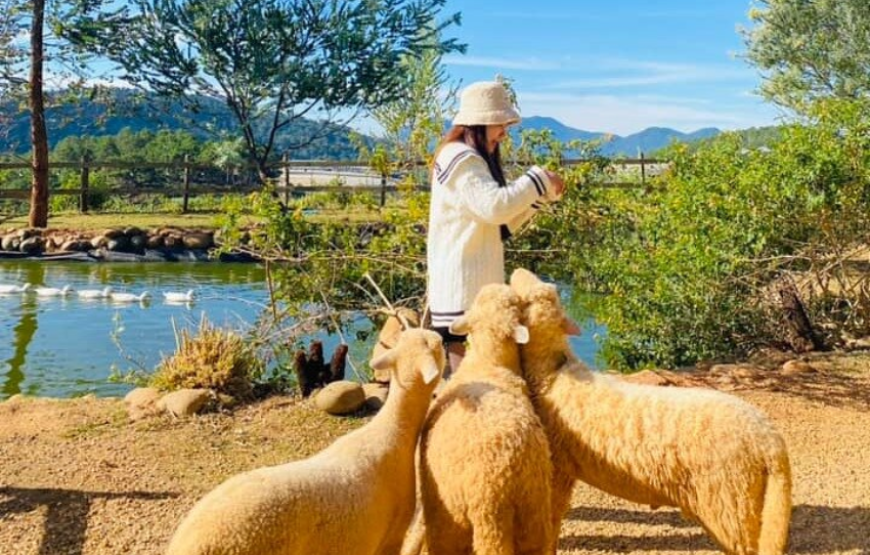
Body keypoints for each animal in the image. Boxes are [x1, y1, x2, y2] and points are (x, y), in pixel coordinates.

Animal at [510, 268, 796, 552]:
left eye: (530, 299)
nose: (517, 270)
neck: (553, 372)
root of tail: (772, 445)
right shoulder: (567, 467)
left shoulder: (557, 466)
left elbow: (552, 518)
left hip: (730, 499)